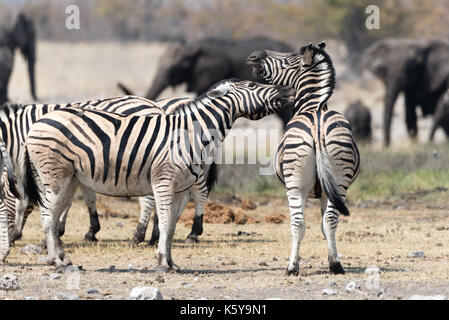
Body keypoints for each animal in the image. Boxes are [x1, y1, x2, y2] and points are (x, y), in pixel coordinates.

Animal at [247, 42, 358, 276]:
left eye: (289, 59)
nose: (253, 56)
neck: (314, 106)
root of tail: (317, 125)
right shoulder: (326, 191)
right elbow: (325, 225)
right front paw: (332, 259)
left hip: (295, 184)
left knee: (297, 223)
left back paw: (292, 267)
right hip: (339, 179)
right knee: (332, 219)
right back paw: (336, 266)